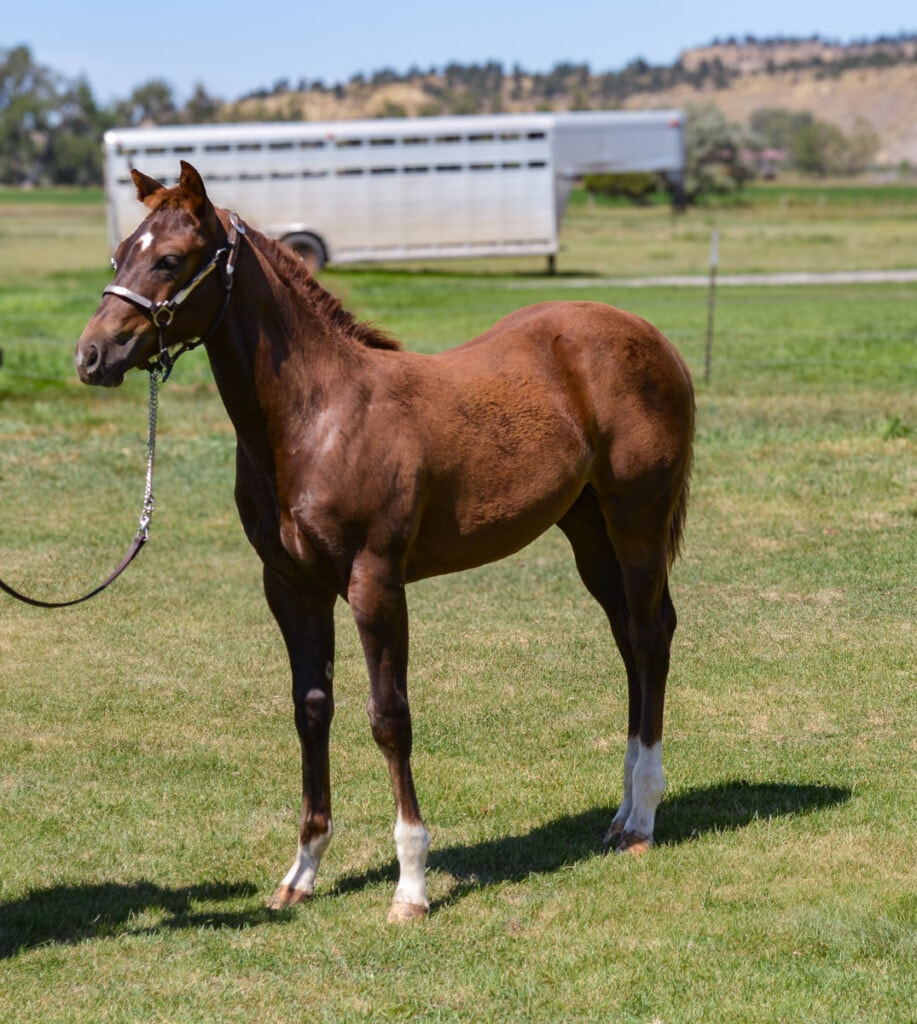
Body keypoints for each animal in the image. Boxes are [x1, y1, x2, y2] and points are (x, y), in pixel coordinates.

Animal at [75, 161, 695, 922]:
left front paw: (411, 884)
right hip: (587, 530)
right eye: (119, 256)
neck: (317, 418)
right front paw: (302, 871)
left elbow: (389, 717)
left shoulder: (375, 579)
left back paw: (641, 819)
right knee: (629, 639)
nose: (92, 355)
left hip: (636, 518)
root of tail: (650, 336)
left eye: (168, 259)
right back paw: (621, 812)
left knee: (649, 635)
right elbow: (311, 708)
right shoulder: (291, 586)